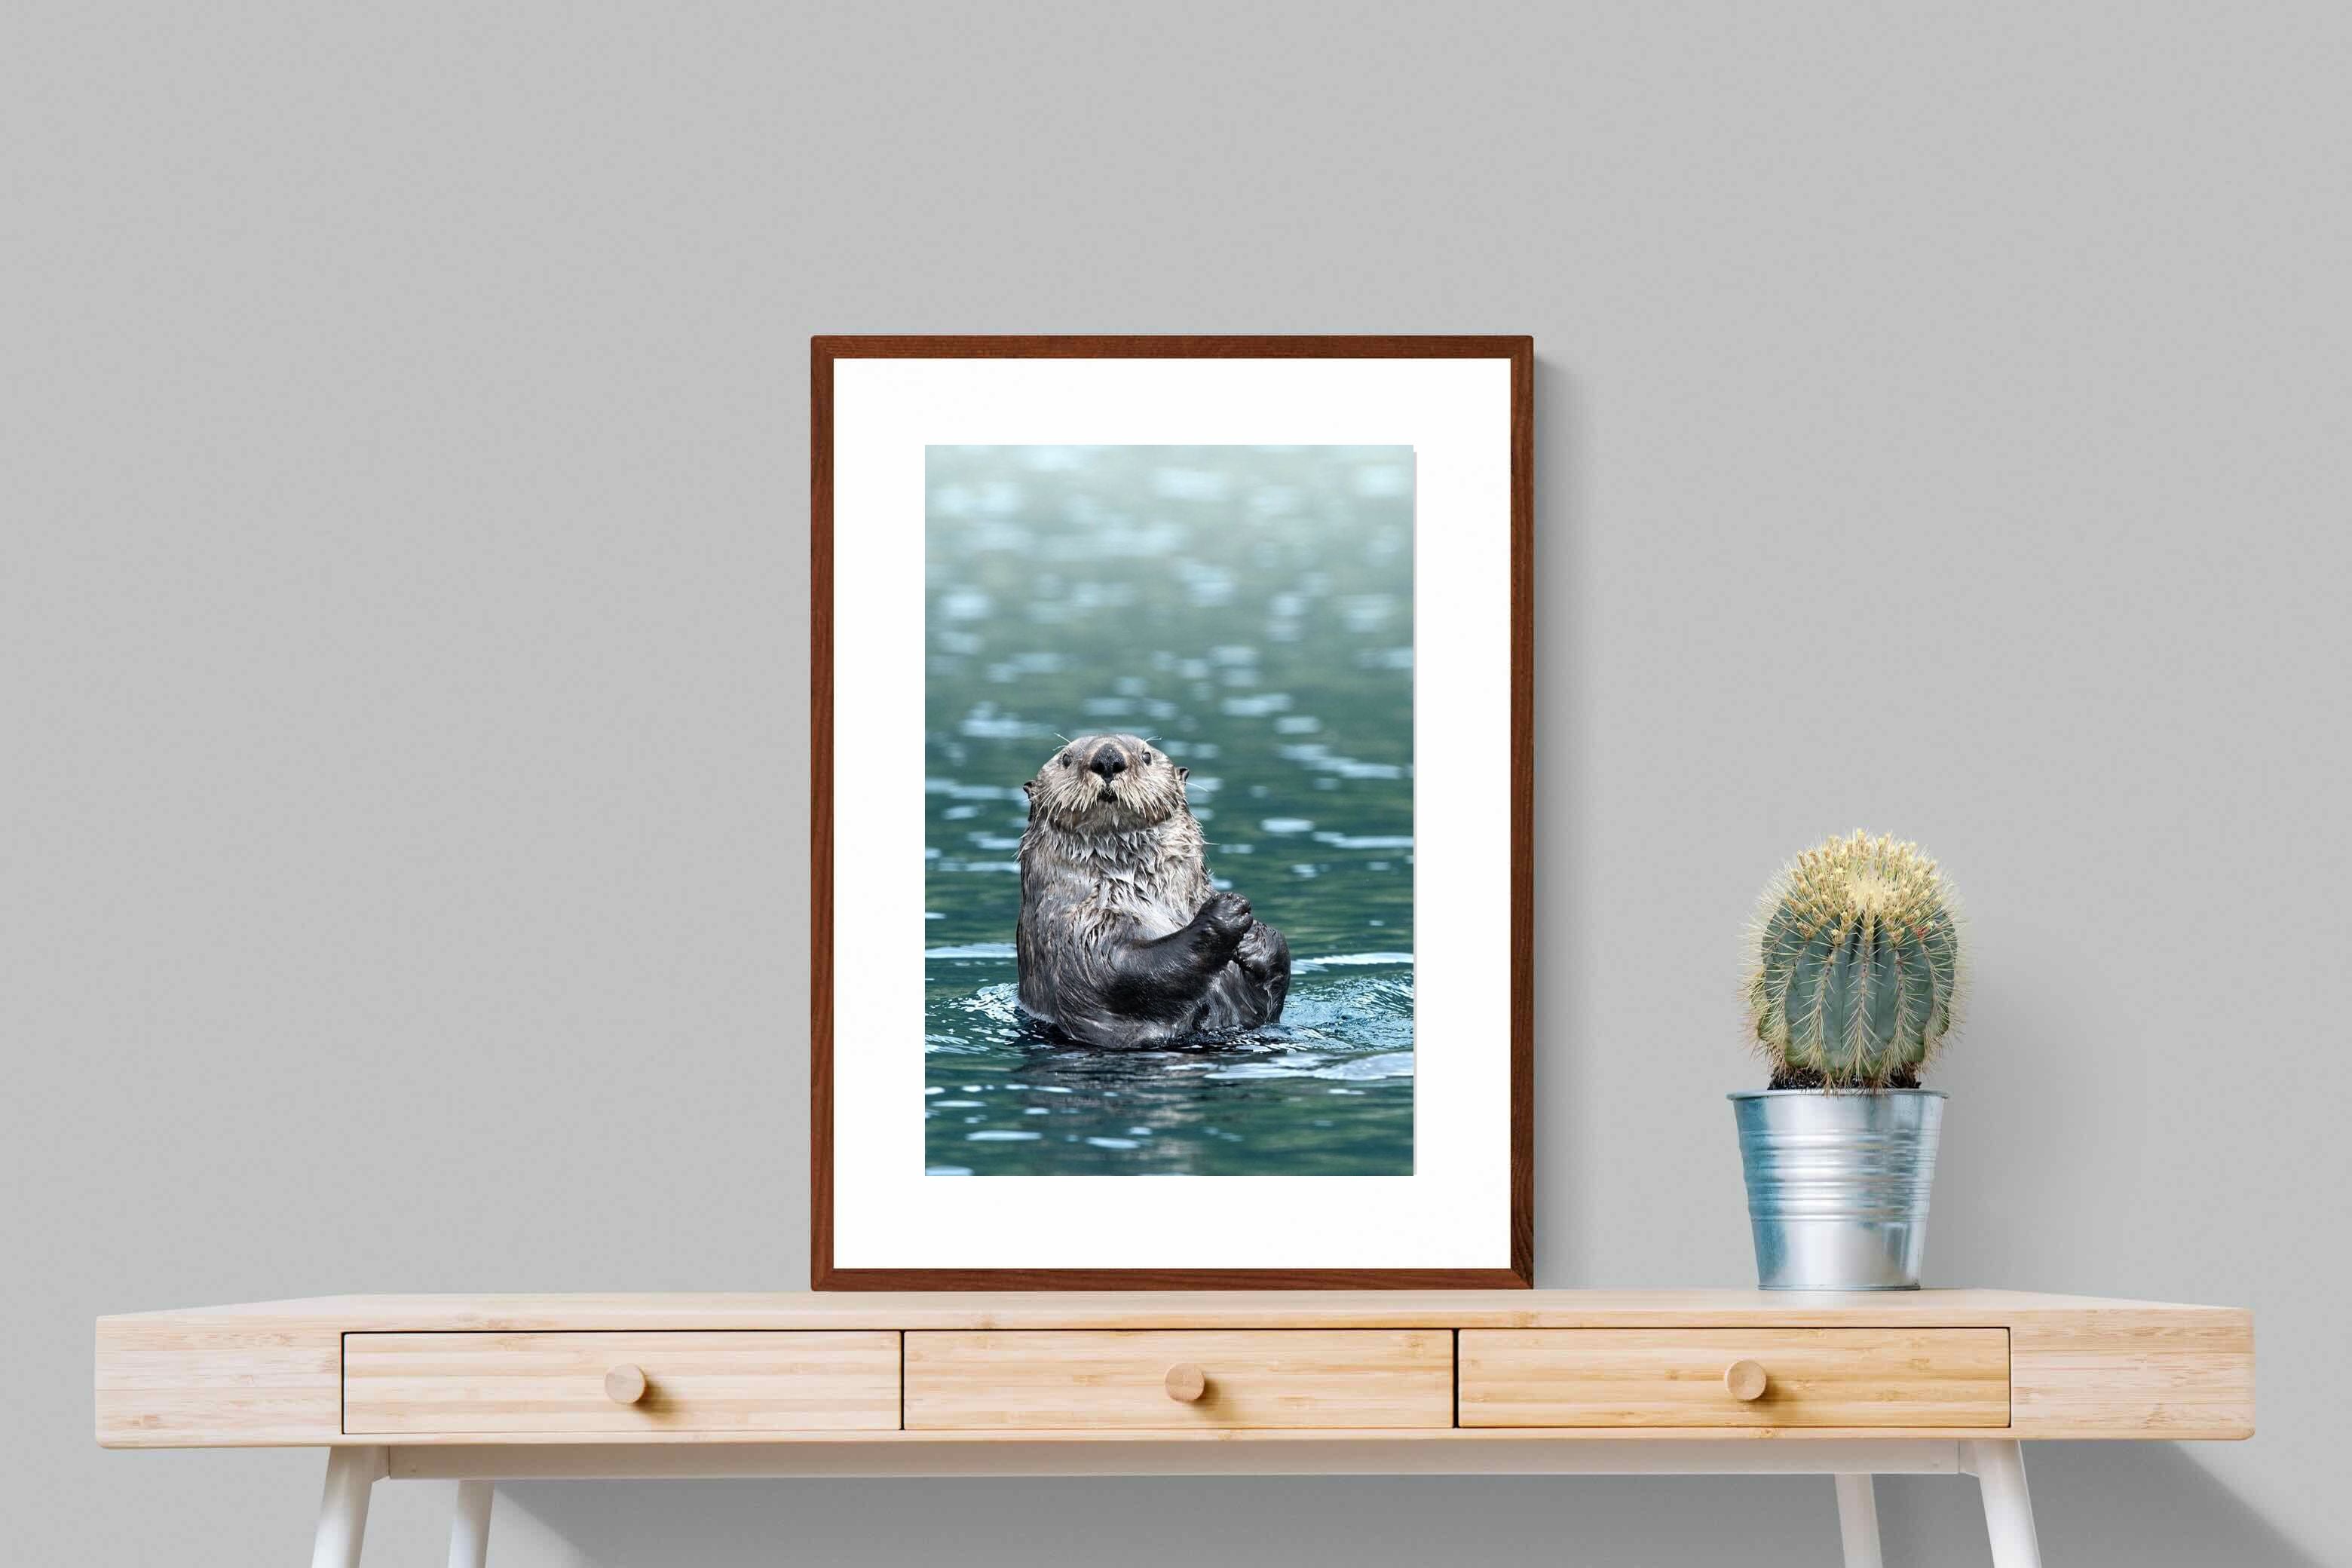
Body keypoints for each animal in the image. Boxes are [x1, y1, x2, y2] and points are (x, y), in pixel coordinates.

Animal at [1015, 733, 1290, 1048]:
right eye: (1066, 759)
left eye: (1146, 756)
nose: (1108, 758)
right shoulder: (1074, 931)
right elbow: (1121, 970)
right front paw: (1226, 912)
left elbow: (1265, 1003)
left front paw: (1256, 937)